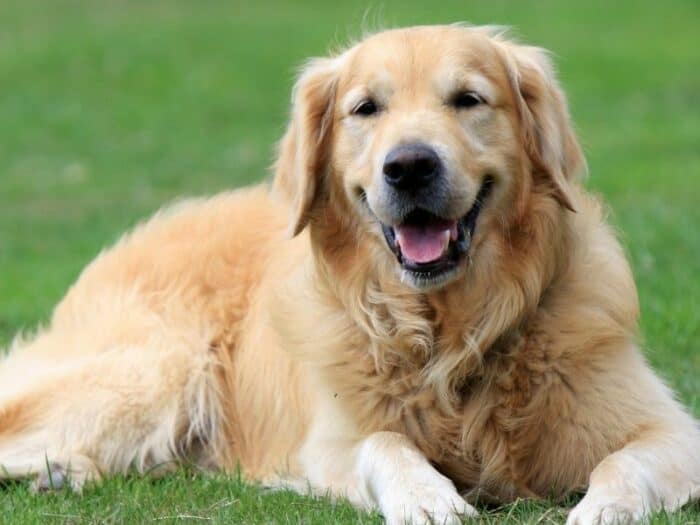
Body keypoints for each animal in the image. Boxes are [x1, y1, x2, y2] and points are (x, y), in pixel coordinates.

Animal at [0, 24, 696, 524]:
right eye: (366, 109)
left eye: (468, 99)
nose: (410, 166)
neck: (450, 333)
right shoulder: (330, 443)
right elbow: (383, 443)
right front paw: (426, 496)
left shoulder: (672, 430)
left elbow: (623, 466)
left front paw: (604, 508)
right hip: (159, 373)